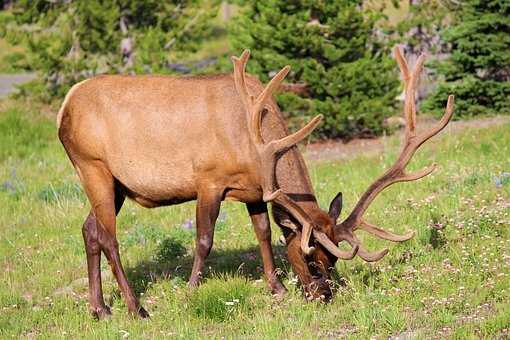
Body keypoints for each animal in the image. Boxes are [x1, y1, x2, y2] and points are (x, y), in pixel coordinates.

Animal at [58, 45, 454, 318]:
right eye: (311, 259)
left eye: (332, 261)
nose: (322, 296)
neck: (254, 143)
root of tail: (65, 107)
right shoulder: (209, 181)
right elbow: (204, 240)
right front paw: (191, 289)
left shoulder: (254, 190)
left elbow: (263, 232)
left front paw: (276, 288)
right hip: (93, 166)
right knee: (109, 237)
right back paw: (136, 308)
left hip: (115, 184)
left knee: (88, 229)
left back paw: (100, 309)